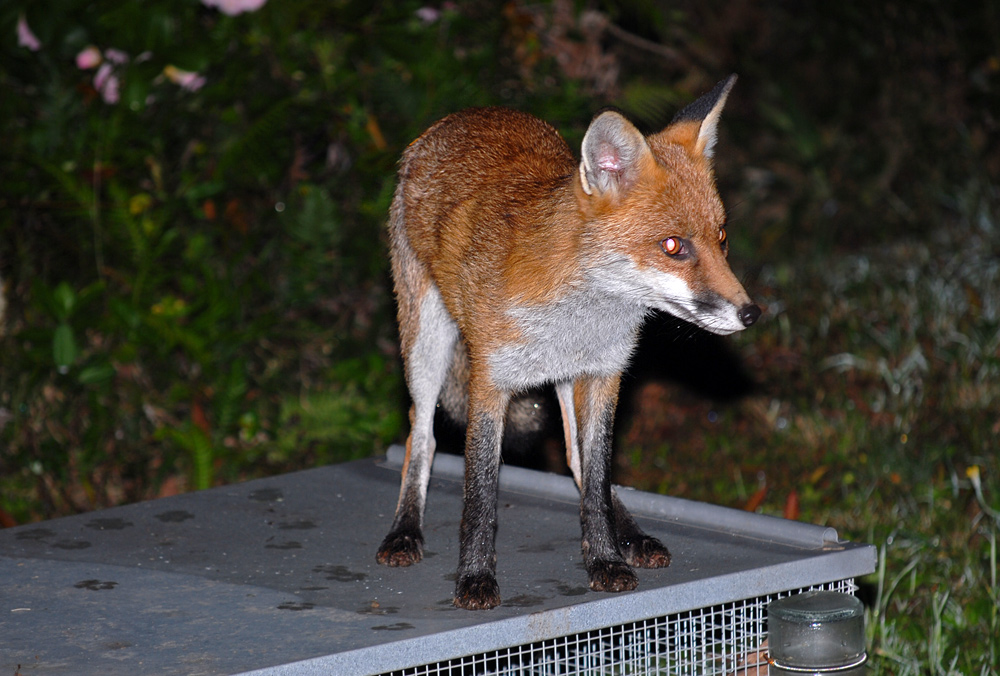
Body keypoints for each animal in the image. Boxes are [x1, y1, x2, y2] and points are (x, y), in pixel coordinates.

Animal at [377, 75, 760, 610]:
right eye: (673, 246)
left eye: (721, 237)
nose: (751, 313)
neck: (579, 320)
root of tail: (465, 116)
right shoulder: (489, 382)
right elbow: (480, 493)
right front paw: (475, 577)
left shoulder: (603, 375)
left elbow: (596, 479)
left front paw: (605, 559)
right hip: (426, 344)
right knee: (423, 434)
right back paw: (404, 530)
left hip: (560, 379)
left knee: (577, 459)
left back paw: (632, 534)